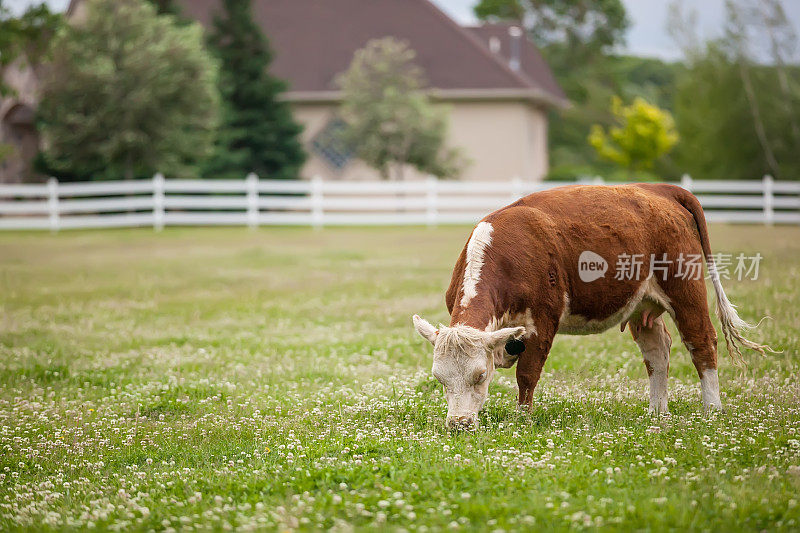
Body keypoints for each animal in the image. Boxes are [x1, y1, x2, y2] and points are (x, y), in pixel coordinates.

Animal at [412, 183, 768, 428]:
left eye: (480, 375)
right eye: (440, 379)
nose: (458, 425)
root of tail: (661, 189)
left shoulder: (543, 322)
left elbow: (527, 375)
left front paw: (523, 419)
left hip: (684, 289)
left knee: (702, 342)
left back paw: (712, 409)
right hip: (642, 304)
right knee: (657, 351)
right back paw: (657, 411)